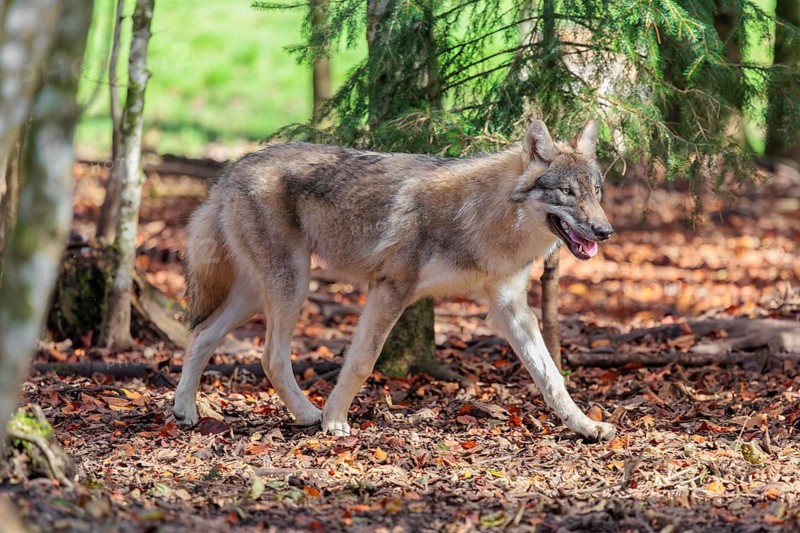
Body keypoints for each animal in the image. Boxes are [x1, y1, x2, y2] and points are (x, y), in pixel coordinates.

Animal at [172, 119, 616, 441]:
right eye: (567, 192)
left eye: (596, 191)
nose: (605, 231)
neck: (485, 220)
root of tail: (232, 168)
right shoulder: (391, 288)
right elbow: (362, 362)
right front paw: (335, 421)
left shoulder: (511, 308)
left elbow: (551, 377)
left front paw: (585, 426)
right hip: (292, 285)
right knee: (270, 357)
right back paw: (309, 414)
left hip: (256, 293)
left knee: (202, 334)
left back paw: (185, 411)